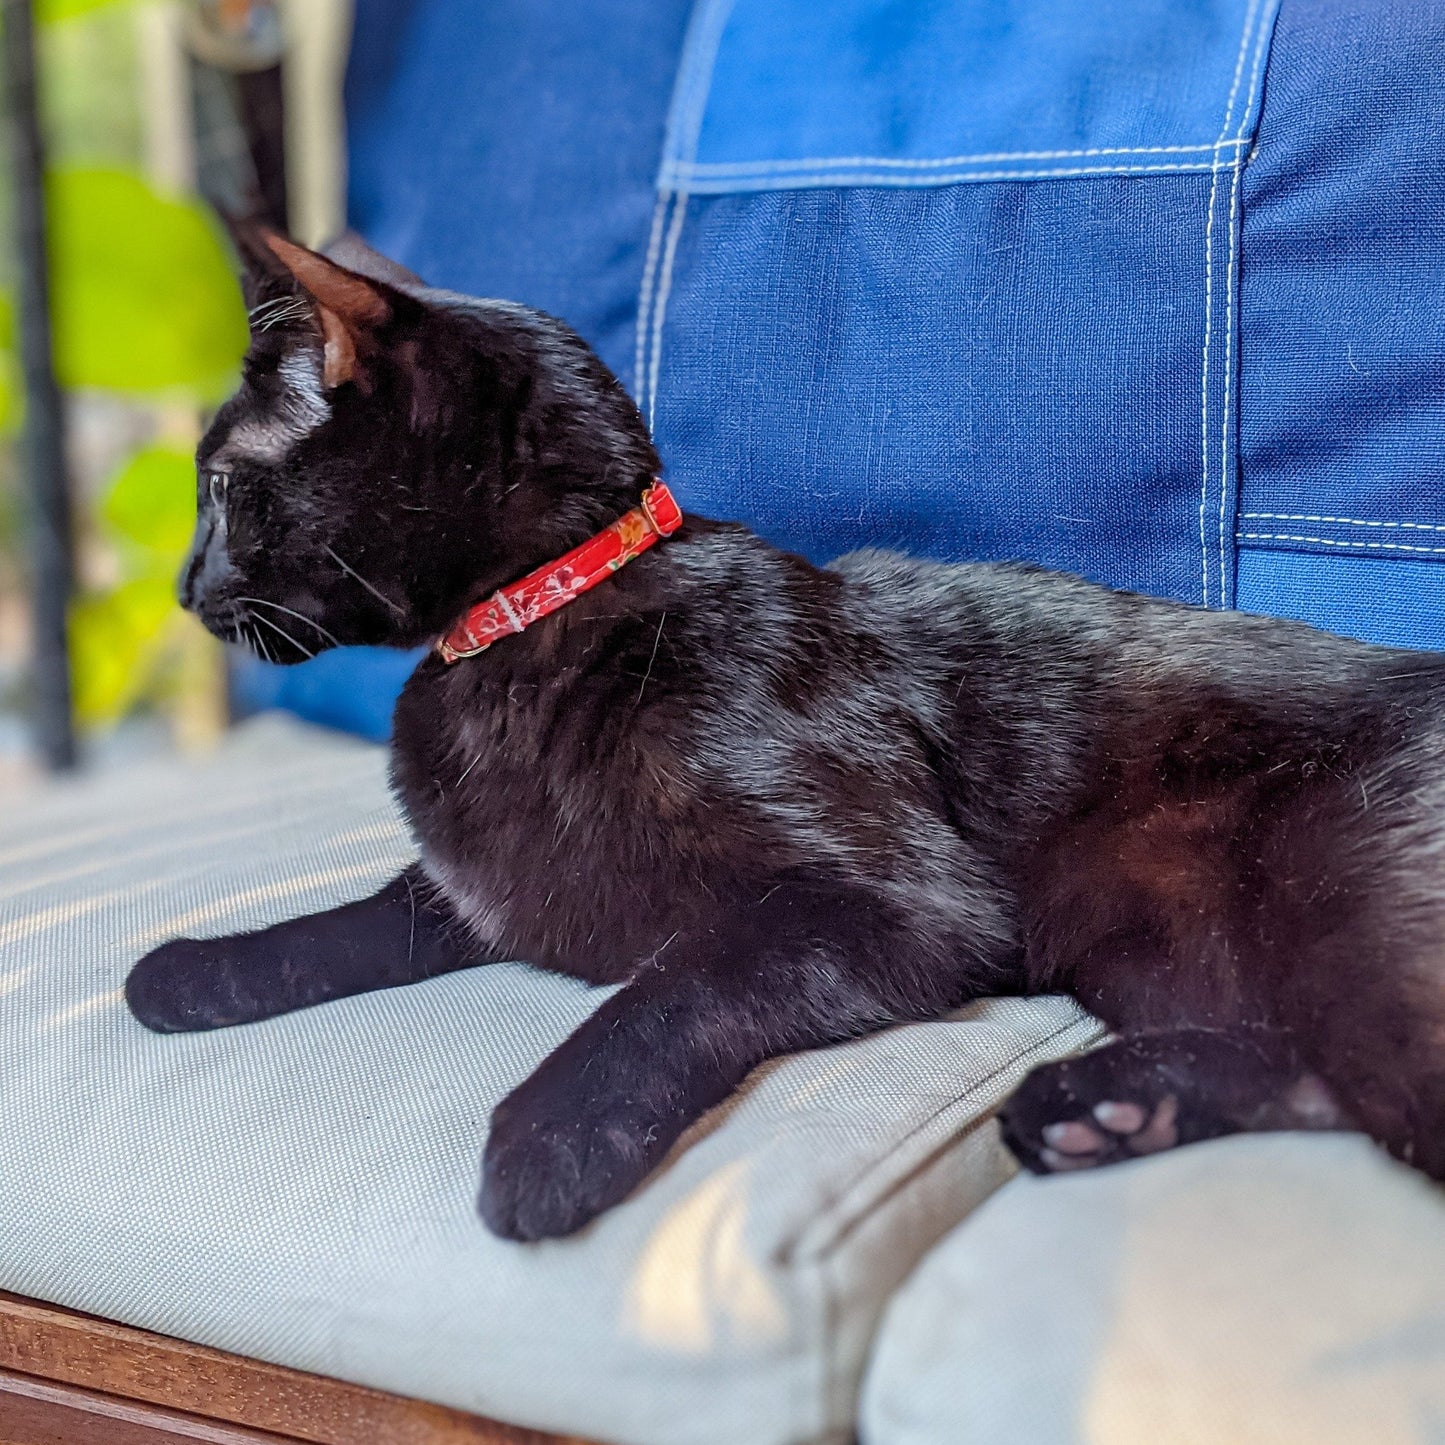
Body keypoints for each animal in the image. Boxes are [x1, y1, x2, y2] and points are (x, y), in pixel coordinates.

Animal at [124, 228, 1445, 1242]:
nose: (181, 589)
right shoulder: (487, 887)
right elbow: (347, 924)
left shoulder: (884, 906)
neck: (541, 615)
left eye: (223, 489)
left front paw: (544, 1137)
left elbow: (666, 989)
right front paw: (189, 970)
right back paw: (1103, 1104)